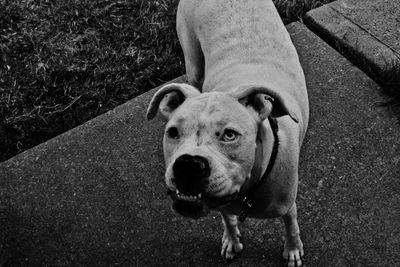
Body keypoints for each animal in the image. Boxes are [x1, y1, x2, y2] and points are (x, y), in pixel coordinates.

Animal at [147, 0, 310, 266]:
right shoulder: (223, 204)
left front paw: (293, 249)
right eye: (172, 132)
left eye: (230, 134)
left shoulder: (287, 204)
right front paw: (232, 241)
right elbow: (228, 219)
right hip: (193, 61)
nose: (188, 165)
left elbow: (291, 226)